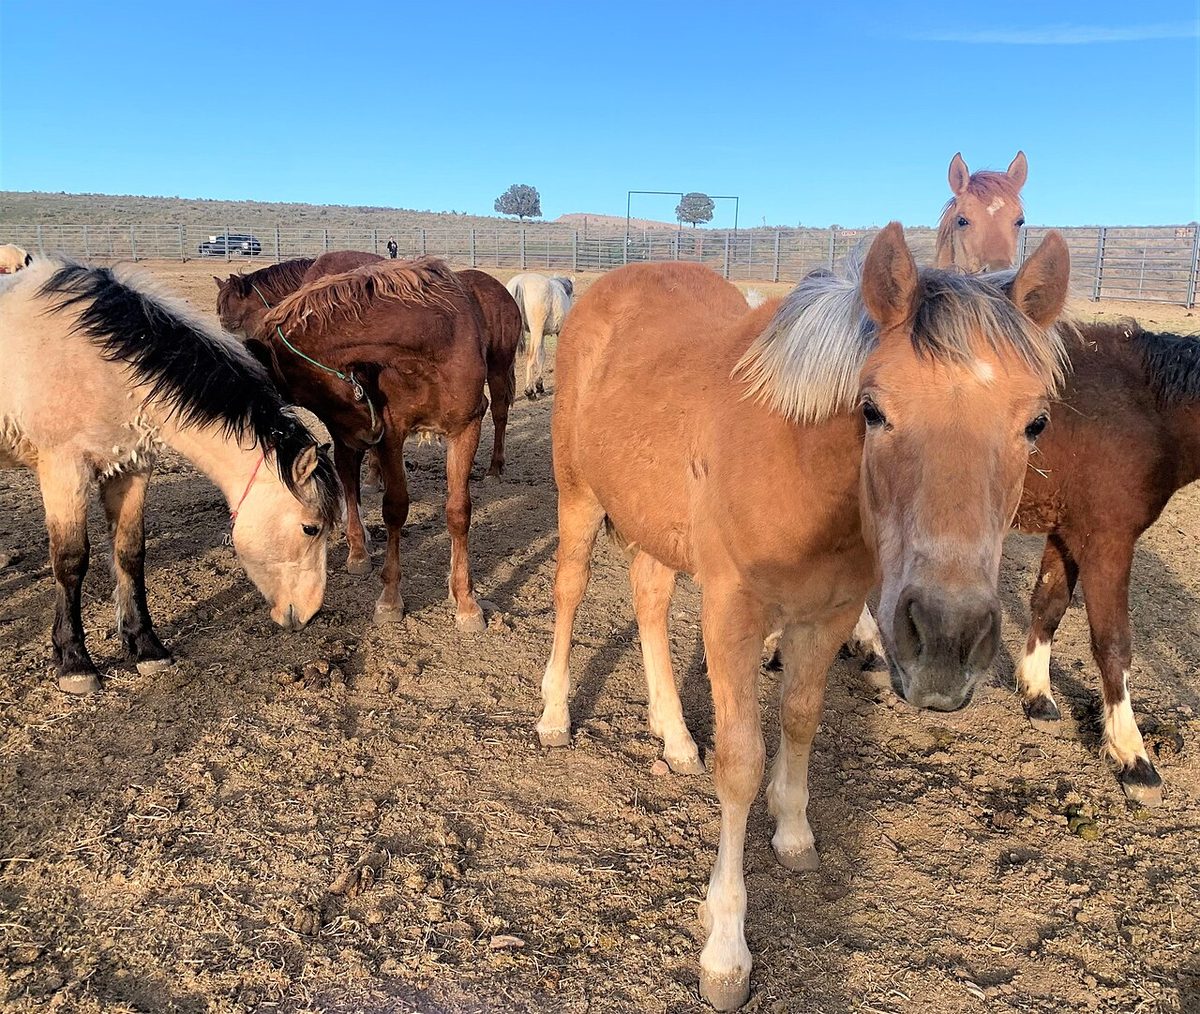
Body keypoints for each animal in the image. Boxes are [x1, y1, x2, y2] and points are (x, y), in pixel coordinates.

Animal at [0, 258, 340, 694]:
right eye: (310, 529)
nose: (310, 613)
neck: (95, 361)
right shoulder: (64, 470)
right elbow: (71, 560)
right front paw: (74, 662)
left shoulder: (132, 468)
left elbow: (130, 553)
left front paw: (146, 647)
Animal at [252, 257, 490, 631]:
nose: (365, 434)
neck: (433, 341)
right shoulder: (391, 434)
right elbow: (394, 509)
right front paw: (390, 599)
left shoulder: (466, 427)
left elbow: (458, 511)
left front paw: (465, 600)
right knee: (348, 479)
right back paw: (358, 550)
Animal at [538, 223, 1070, 1009]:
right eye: (873, 409)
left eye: (1035, 422)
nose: (946, 640)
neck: (800, 464)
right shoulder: (732, 614)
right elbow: (740, 764)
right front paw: (725, 950)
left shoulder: (829, 615)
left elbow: (800, 720)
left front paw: (792, 834)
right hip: (578, 496)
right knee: (571, 592)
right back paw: (554, 717)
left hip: (655, 522)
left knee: (649, 596)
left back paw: (674, 737)